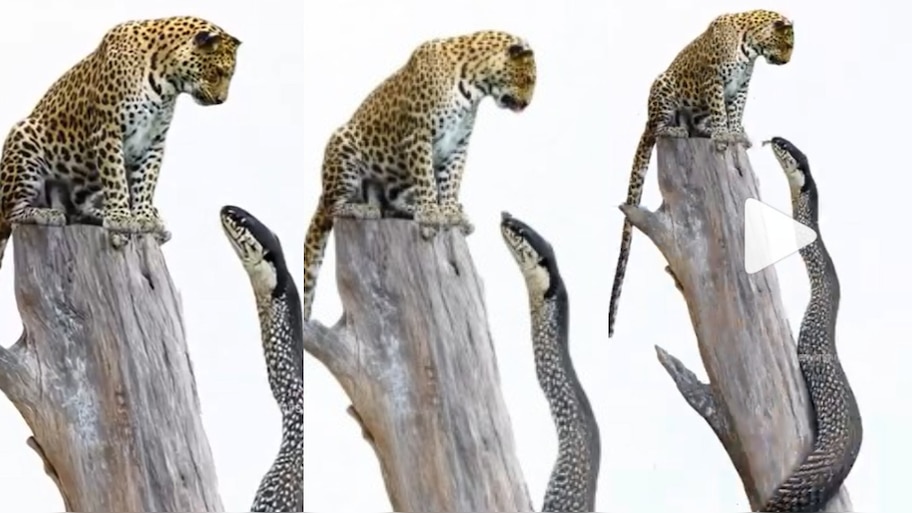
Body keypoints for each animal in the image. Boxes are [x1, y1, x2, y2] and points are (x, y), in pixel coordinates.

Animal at [0, 15, 241, 269]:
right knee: (12, 212)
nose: (221, 100)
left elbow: (146, 181)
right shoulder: (108, 131)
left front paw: (144, 217)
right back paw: (47, 214)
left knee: (77, 209)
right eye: (217, 72)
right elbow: (116, 179)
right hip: (23, 140)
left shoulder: (154, 141)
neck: (167, 82)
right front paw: (121, 219)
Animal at [302, 29, 536, 320]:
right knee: (335, 205)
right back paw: (364, 209)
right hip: (342, 145)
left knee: (390, 202)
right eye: (528, 79)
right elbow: (426, 179)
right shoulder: (418, 137)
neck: (474, 86)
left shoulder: (458, 145)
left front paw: (451, 214)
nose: (526, 105)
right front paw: (431, 214)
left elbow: (451, 182)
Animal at [607, 9, 794, 338]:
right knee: (659, 129)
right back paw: (677, 129)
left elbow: (736, 112)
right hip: (663, 89)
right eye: (786, 45)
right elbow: (721, 110)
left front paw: (736, 134)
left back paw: (701, 130)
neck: (751, 47)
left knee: (693, 125)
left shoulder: (741, 87)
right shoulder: (713, 81)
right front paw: (722, 136)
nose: (786, 61)